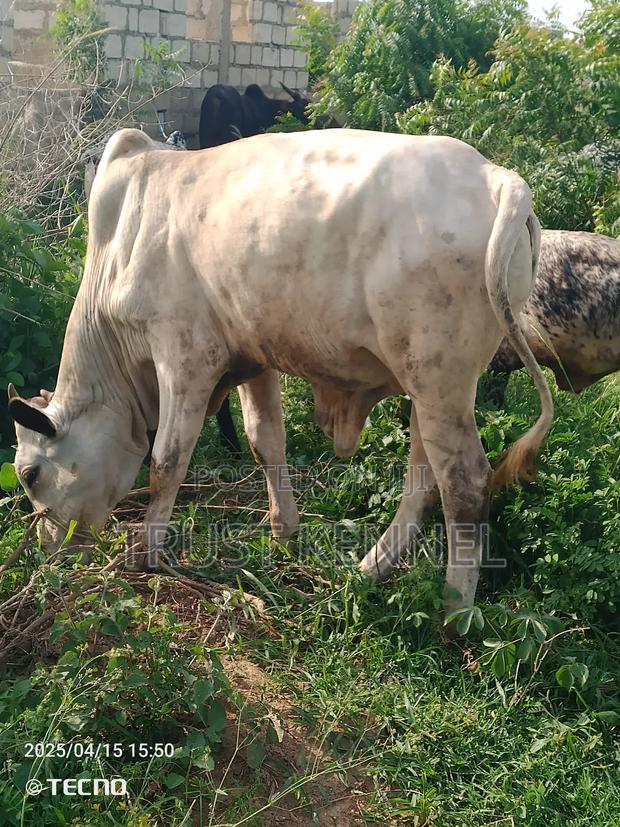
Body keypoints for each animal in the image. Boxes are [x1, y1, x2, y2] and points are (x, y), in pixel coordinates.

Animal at [8, 127, 553, 617]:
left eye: (31, 474)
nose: (51, 547)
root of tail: (496, 177)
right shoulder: (253, 356)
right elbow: (264, 441)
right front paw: (284, 536)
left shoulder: (185, 355)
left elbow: (166, 461)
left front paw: (146, 554)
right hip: (430, 386)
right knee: (424, 478)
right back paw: (371, 569)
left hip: (440, 381)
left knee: (464, 482)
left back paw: (454, 611)